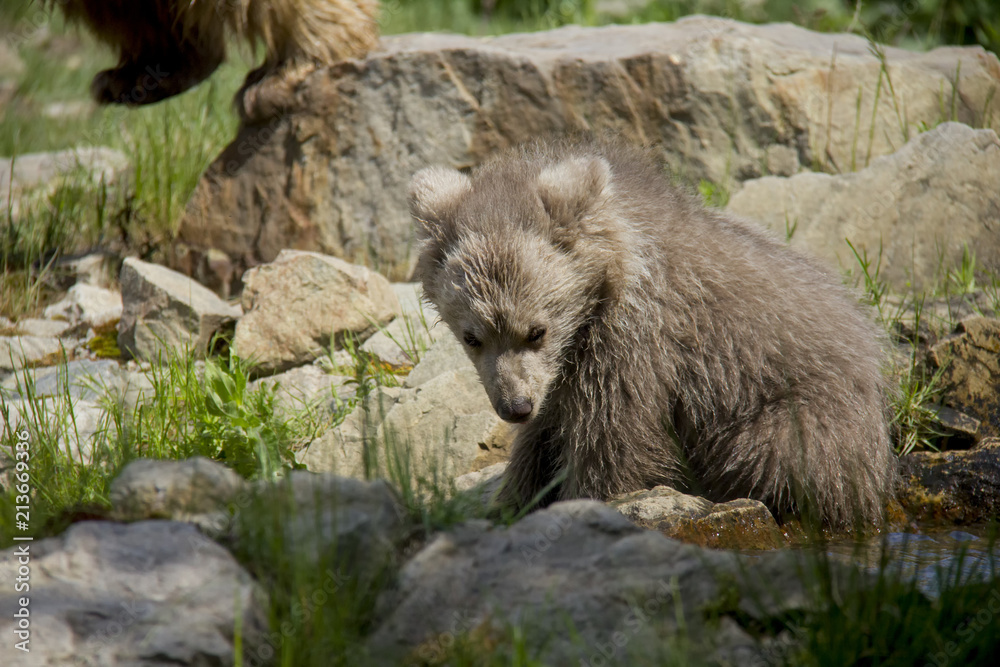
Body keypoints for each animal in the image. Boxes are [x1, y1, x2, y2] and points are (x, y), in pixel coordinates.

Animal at [409, 138, 897, 527]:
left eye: (536, 330)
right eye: (472, 336)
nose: (514, 407)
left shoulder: (636, 344)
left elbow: (615, 439)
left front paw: (589, 500)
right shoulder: (562, 371)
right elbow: (543, 439)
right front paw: (511, 500)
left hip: (797, 416)